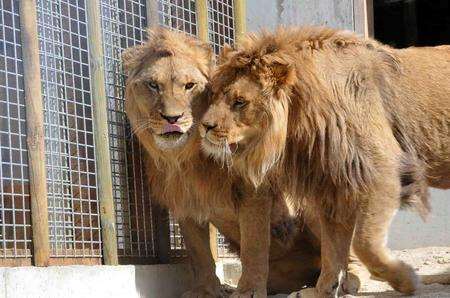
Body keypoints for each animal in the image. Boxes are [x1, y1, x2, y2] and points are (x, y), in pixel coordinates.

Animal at [123, 27, 334, 296]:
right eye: (153, 85)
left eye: (189, 86)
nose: (172, 118)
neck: (187, 157)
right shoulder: (184, 200)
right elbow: (199, 253)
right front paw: (206, 290)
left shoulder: (254, 188)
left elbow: (254, 245)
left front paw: (248, 290)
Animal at [202, 26, 448, 298]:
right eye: (213, 95)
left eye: (240, 101)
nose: (204, 126)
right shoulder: (335, 184)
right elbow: (333, 250)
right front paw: (322, 291)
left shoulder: (383, 170)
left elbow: (364, 244)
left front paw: (406, 279)